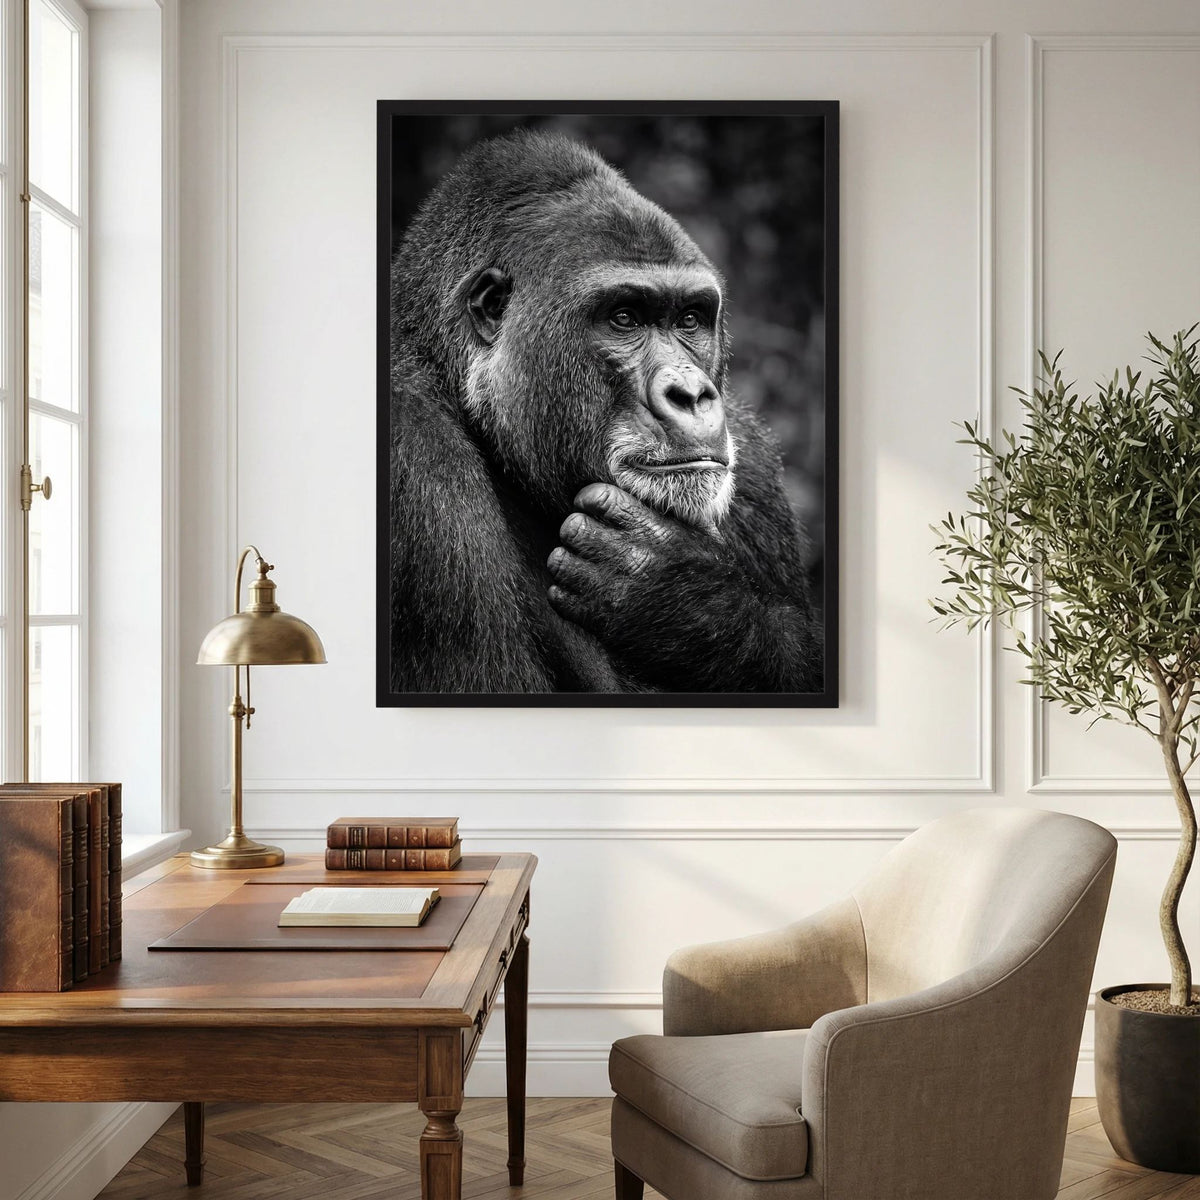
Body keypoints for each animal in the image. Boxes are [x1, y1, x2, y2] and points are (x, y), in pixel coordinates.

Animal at [386, 128, 823, 696]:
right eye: (624, 318)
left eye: (689, 319)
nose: (691, 393)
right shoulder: (414, 461)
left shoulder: (756, 469)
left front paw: (687, 599)